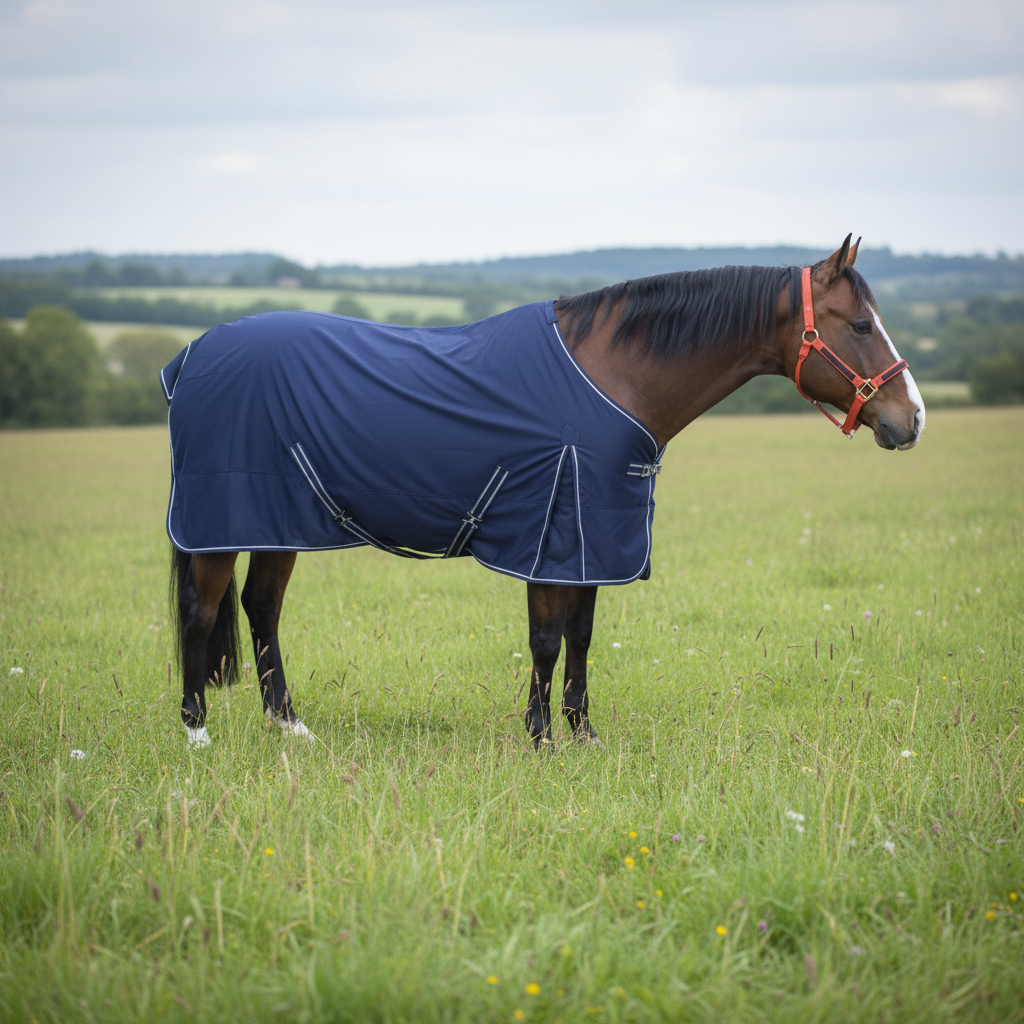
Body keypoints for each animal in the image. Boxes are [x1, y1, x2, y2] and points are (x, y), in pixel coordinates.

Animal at [164, 235, 924, 749]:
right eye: (860, 325)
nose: (912, 418)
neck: (611, 375)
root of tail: (193, 354)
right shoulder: (552, 534)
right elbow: (547, 640)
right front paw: (539, 737)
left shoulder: (596, 539)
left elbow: (581, 637)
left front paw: (582, 732)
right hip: (220, 521)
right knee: (201, 613)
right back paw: (196, 731)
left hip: (275, 524)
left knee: (261, 609)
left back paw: (289, 725)